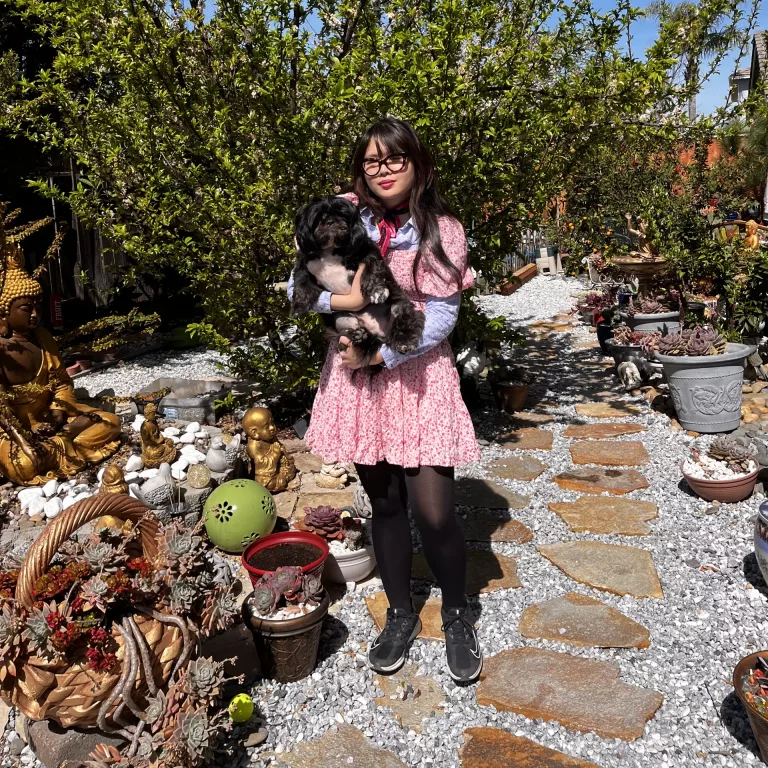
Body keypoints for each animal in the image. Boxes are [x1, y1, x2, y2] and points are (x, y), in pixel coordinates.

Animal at [290, 196, 424, 368]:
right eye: (319, 218)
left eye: (342, 215)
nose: (331, 221)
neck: (331, 251)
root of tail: (379, 335)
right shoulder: (304, 265)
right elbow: (301, 282)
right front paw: (298, 306)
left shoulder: (367, 252)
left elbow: (372, 268)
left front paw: (377, 291)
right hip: (342, 322)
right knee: (345, 335)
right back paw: (359, 335)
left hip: (399, 309)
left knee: (403, 322)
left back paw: (404, 341)